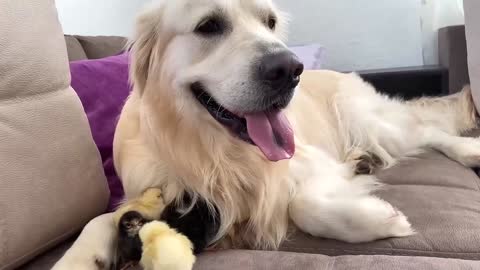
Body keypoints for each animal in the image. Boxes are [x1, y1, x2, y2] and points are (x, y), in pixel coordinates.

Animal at [52, 0, 480, 268]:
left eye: (270, 22)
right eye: (209, 25)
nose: (290, 69)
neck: (214, 151)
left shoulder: (305, 160)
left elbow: (301, 203)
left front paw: (380, 220)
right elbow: (99, 220)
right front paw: (78, 257)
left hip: (364, 117)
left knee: (425, 130)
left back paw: (466, 149)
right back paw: (364, 159)